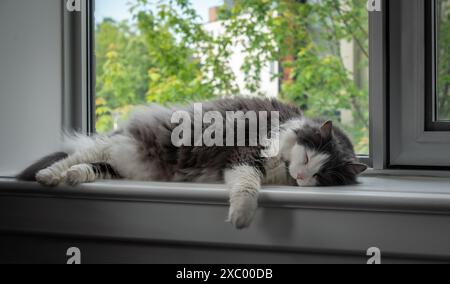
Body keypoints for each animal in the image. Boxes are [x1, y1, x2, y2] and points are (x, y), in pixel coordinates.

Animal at [18, 97, 370, 229]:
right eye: (308, 157)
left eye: (320, 176)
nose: (300, 175)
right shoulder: (245, 156)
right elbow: (247, 188)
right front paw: (241, 218)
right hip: (116, 145)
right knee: (77, 156)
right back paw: (48, 176)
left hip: (120, 164)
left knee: (90, 166)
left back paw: (74, 178)